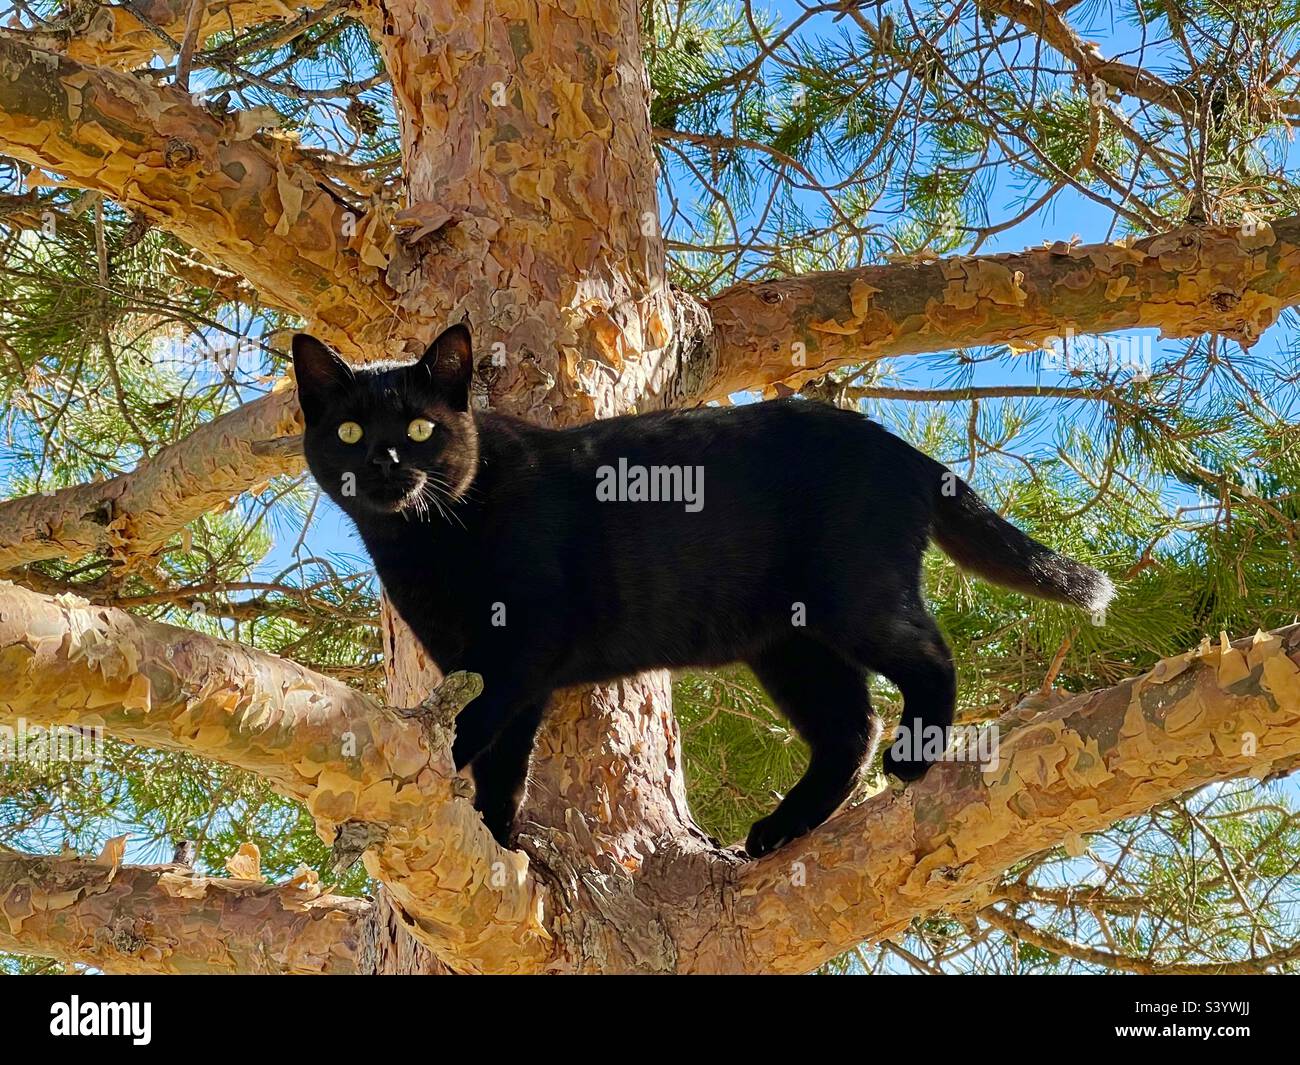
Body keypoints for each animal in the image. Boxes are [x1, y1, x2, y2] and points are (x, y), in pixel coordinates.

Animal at [295, 325, 1118, 858]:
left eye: (421, 428)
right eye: (348, 432)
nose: (385, 462)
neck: (421, 542)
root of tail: (902, 447)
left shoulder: (527, 644)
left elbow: (475, 729)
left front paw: (442, 781)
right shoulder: (497, 668)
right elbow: (505, 760)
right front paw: (502, 844)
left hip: (853, 600)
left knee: (931, 659)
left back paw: (916, 755)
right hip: (789, 644)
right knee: (851, 726)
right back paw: (779, 830)